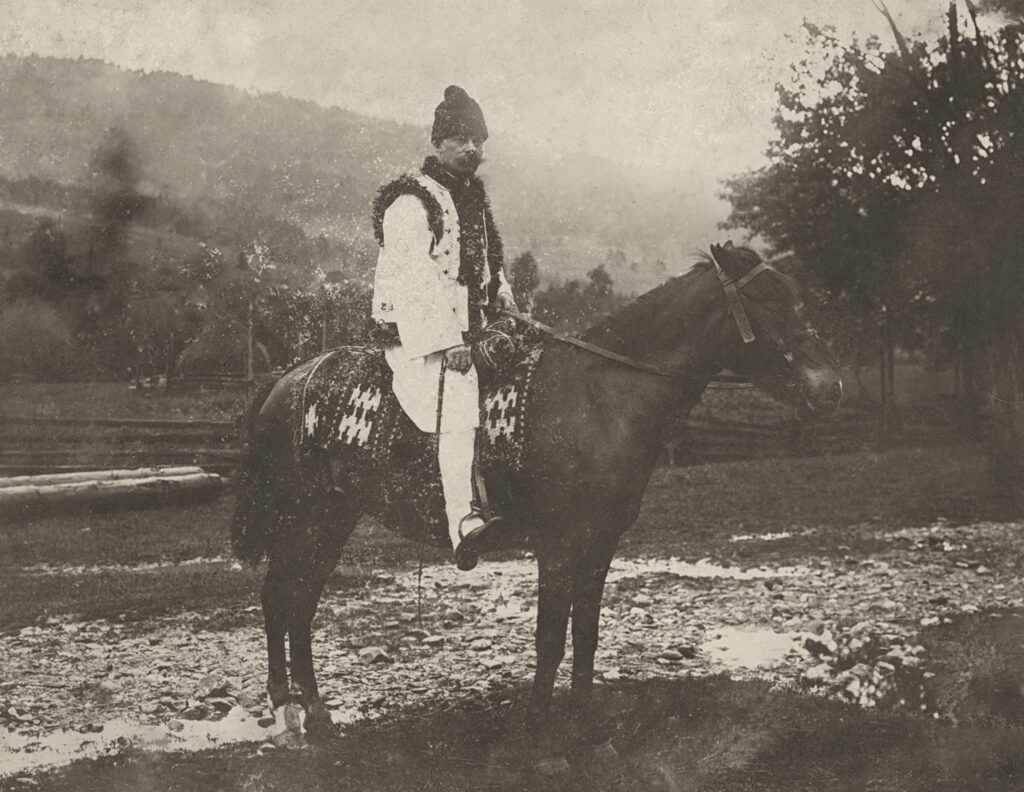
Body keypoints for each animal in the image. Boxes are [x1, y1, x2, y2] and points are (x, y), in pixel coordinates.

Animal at [231, 242, 842, 755]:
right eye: (768, 301)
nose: (830, 387)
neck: (598, 398)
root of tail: (286, 379)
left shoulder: (600, 544)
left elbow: (585, 632)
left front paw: (585, 721)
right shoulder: (558, 543)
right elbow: (550, 634)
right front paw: (537, 725)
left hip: (333, 518)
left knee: (300, 604)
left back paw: (315, 713)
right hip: (304, 517)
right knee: (280, 599)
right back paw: (289, 712)